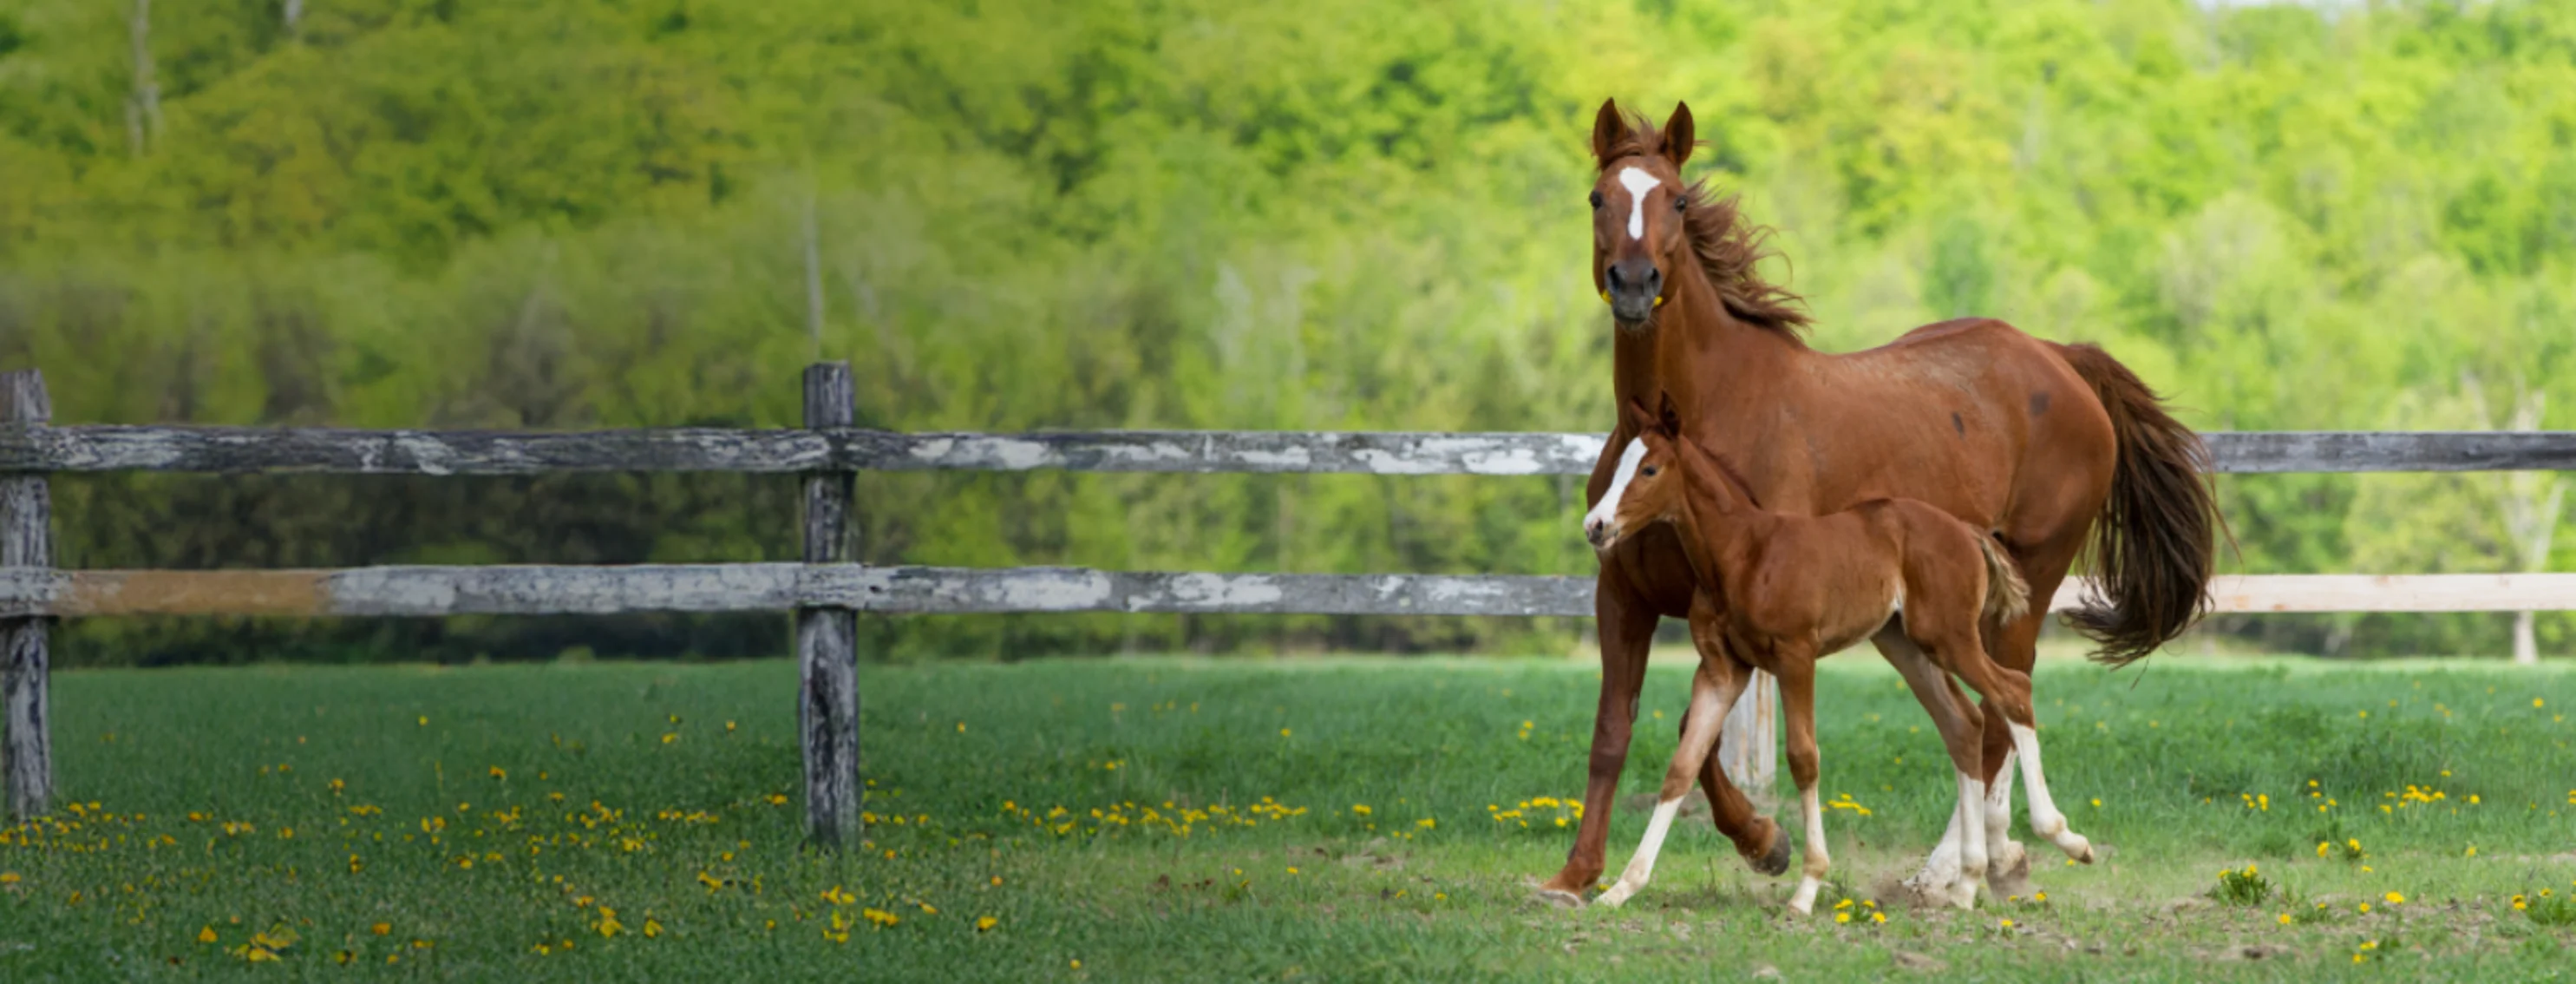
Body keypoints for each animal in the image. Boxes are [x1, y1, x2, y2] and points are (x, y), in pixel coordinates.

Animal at [1585, 394, 2095, 912]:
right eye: (1619, 465)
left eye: (1649, 469)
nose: (1596, 525)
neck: (1743, 554)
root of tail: (1968, 531)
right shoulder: (1721, 671)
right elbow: (1681, 768)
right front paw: (1622, 888)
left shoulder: (1795, 656)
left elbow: (1803, 758)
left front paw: (1807, 889)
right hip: (1907, 645)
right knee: (1963, 722)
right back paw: (1967, 882)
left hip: (1949, 638)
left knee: (2013, 691)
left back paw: (2064, 838)